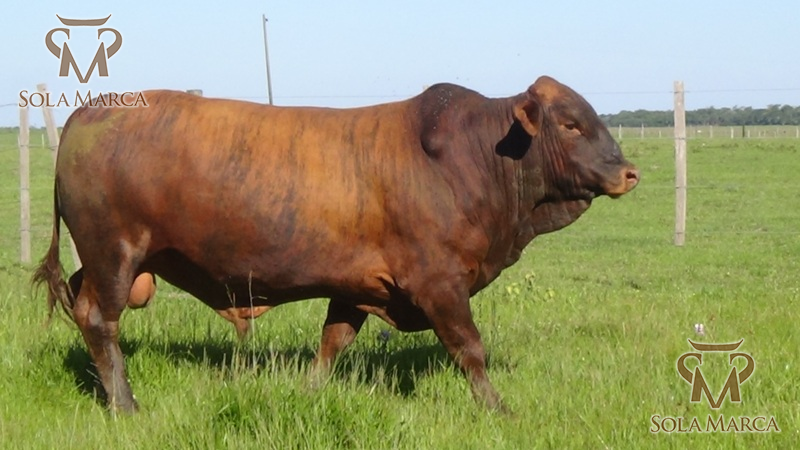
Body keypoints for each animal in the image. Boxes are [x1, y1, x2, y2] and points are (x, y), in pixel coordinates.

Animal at [33, 76, 639, 413]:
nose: (629, 173)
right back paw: (125, 404)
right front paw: (498, 410)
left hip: (104, 261)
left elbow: (332, 343)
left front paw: (307, 392)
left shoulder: (357, 285)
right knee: (99, 320)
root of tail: (93, 107)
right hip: (114, 254)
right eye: (571, 124)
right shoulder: (440, 282)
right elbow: (470, 349)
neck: (475, 158)